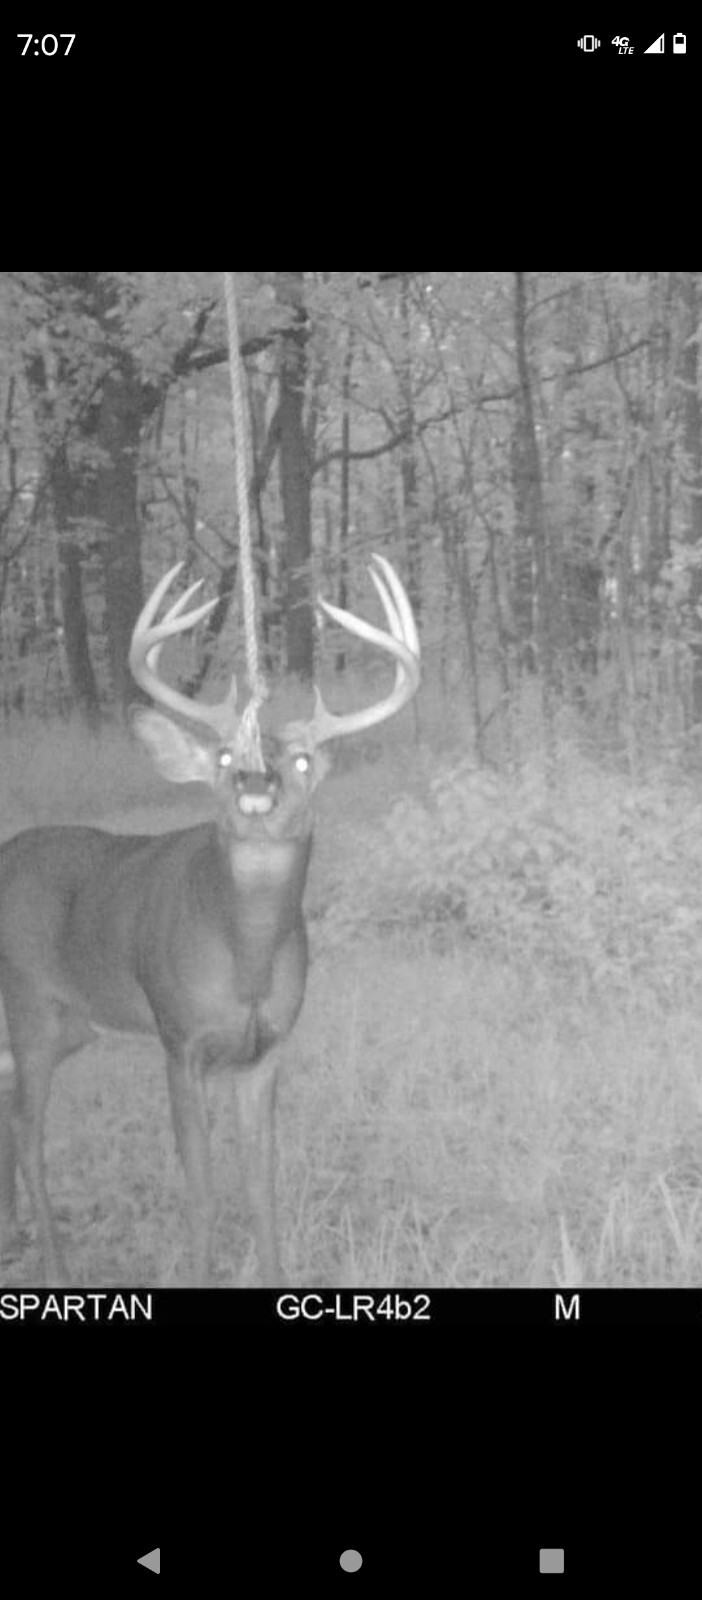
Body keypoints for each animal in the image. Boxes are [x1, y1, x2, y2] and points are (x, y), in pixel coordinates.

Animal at [0, 555, 420, 1287]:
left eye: (302, 761)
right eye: (224, 756)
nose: (254, 784)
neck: (244, 960)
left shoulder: (267, 1048)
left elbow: (261, 1186)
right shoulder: (179, 1040)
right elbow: (200, 1190)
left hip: (73, 1025)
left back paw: (16, 1231)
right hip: (32, 1009)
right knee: (27, 1128)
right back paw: (54, 1268)